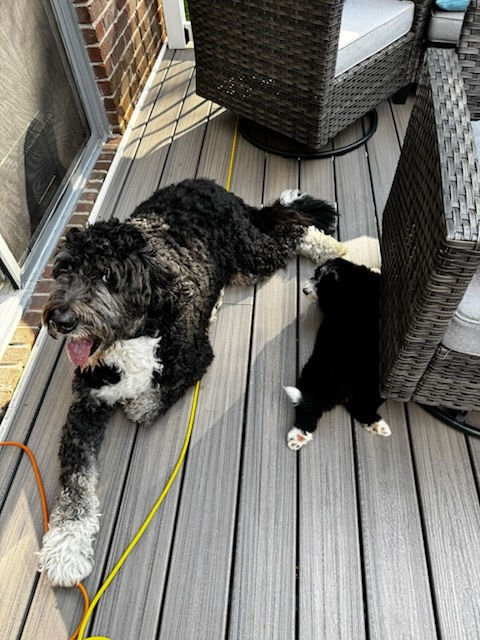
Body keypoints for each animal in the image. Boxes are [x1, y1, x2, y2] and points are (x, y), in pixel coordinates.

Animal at [37, 178, 346, 586]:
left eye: (106, 276)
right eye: (64, 270)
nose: (60, 319)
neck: (135, 333)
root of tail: (215, 188)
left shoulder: (196, 354)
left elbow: (163, 390)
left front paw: (144, 403)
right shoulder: (87, 400)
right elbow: (76, 480)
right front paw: (66, 545)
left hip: (251, 255)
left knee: (290, 232)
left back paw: (325, 246)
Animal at [284, 258, 390, 451]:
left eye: (322, 285)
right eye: (316, 274)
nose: (305, 290)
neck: (353, 282)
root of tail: (344, 389)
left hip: (375, 386)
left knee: (358, 406)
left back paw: (376, 425)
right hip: (317, 377)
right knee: (309, 406)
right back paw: (298, 435)